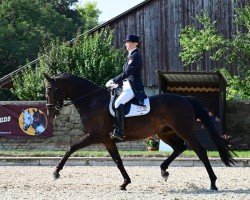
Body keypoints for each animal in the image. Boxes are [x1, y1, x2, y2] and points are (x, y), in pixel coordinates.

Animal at [44, 73, 235, 191]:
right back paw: (164, 171)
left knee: (200, 151)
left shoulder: (94, 136)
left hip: (184, 130)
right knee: (180, 148)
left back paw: (213, 183)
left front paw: (55, 173)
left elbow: (71, 148)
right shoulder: (107, 140)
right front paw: (125, 183)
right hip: (164, 133)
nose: (50, 112)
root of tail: (185, 98)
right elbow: (118, 161)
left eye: (51, 90)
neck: (92, 101)